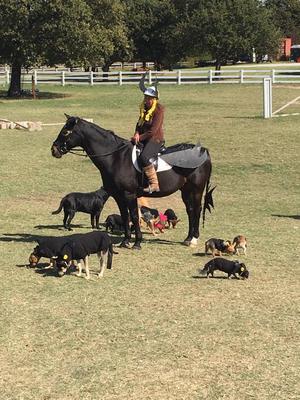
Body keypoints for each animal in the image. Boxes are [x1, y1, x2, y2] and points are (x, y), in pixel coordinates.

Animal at [51, 114, 213, 250]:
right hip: (186, 190)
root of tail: (202, 151)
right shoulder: (119, 196)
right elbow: (125, 216)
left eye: (65, 132)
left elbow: (134, 216)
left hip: (196, 190)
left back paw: (194, 239)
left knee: (196, 210)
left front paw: (137, 242)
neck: (115, 157)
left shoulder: (129, 195)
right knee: (190, 210)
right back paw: (188, 238)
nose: (54, 149)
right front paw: (126, 241)